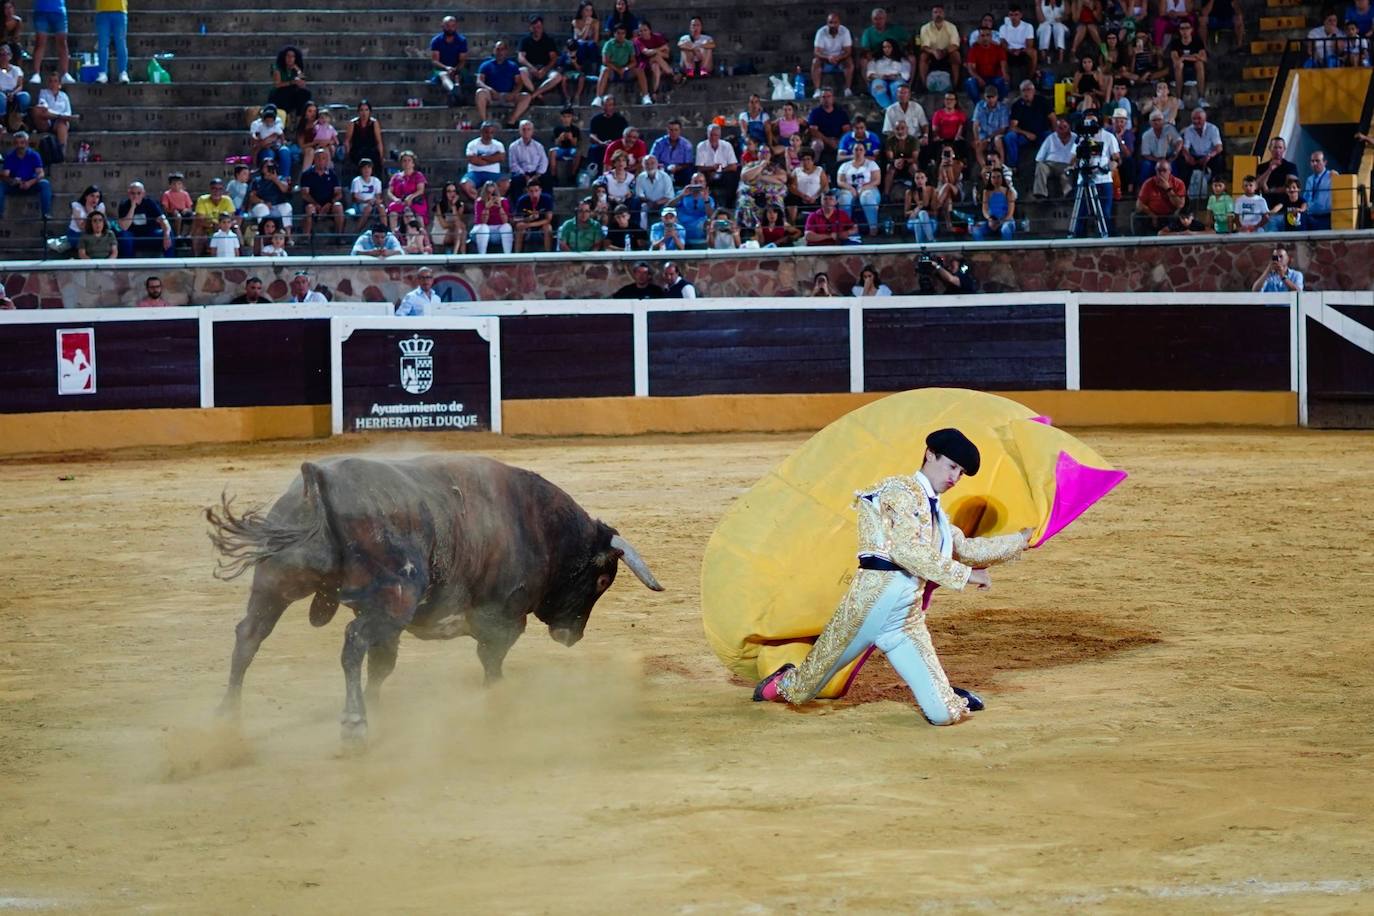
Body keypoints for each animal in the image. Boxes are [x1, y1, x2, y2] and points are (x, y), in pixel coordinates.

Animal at [204, 455, 670, 741]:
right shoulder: (502, 620)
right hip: (393, 598)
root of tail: (318, 481)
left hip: (276, 583)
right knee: (351, 641)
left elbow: (383, 667)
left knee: (249, 636)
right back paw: (353, 724)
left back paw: (227, 719)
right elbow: (491, 664)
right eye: (603, 580)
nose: (571, 635)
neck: (538, 527)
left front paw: (380, 708)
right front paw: (498, 702)